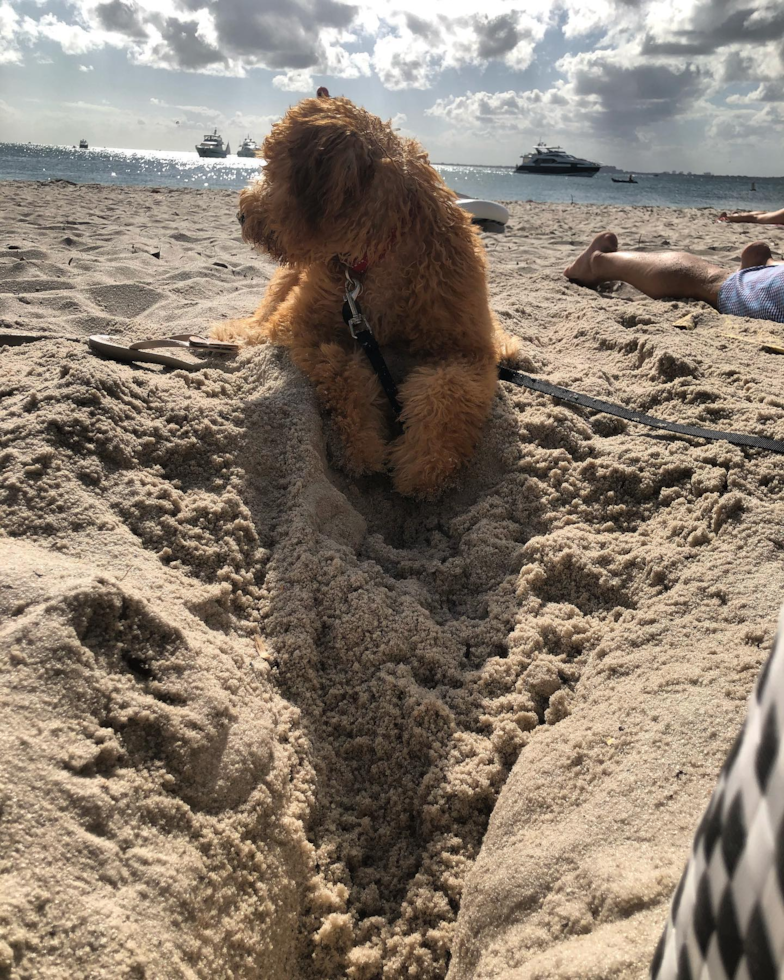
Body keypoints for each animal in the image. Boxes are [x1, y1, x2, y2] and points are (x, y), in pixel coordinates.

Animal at [213, 93, 520, 498]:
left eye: (274, 169)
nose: (241, 215)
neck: (375, 253)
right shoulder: (306, 326)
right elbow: (346, 374)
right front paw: (360, 445)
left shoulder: (464, 349)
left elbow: (449, 392)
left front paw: (425, 466)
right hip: (287, 281)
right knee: (261, 318)